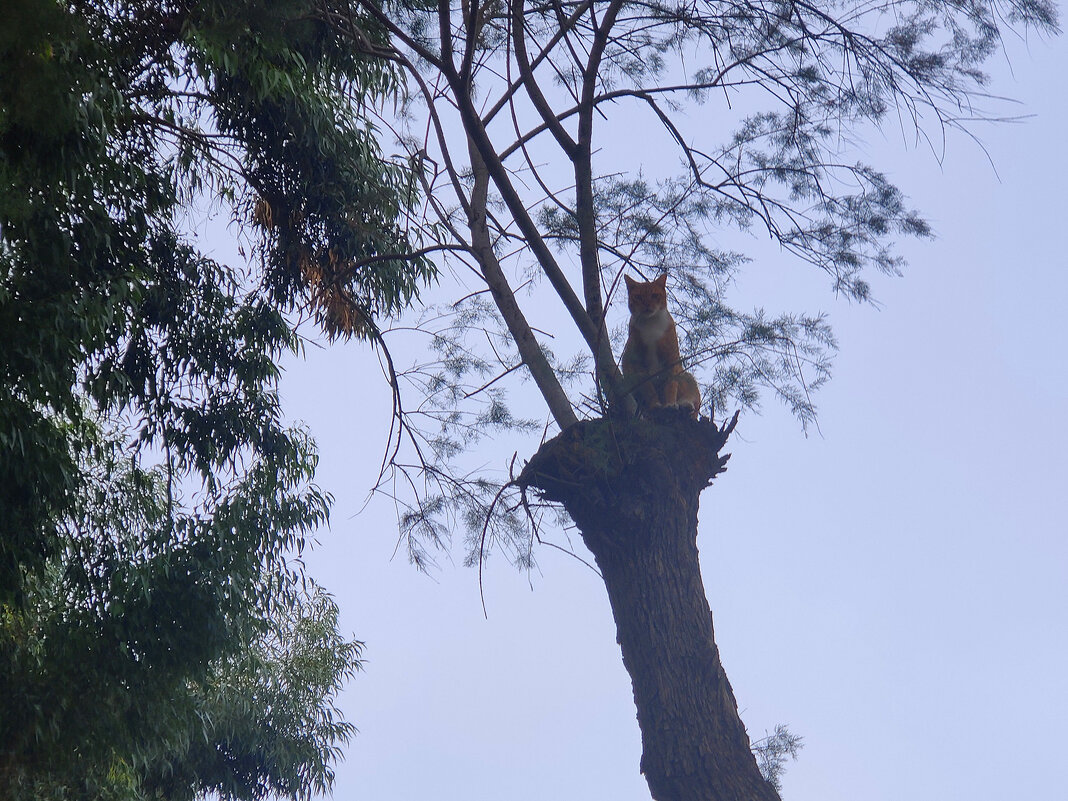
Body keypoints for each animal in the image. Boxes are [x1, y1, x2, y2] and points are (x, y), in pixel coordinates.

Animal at [619, 275, 700, 420]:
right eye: (638, 297)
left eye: (654, 295)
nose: (647, 304)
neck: (651, 324)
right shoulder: (638, 365)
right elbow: (648, 389)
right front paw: (655, 405)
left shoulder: (671, 360)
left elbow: (671, 385)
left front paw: (670, 404)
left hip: (687, 376)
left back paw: (685, 405)